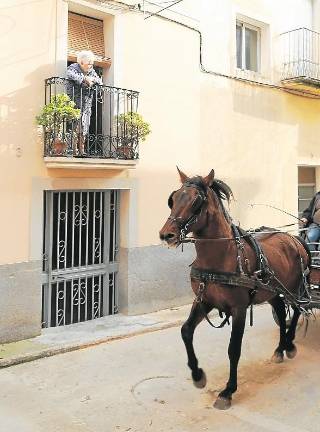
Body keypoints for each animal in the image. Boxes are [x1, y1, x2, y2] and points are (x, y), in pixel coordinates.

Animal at [159, 167, 310, 410]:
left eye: (196, 201)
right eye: (173, 199)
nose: (166, 235)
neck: (222, 255)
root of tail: (294, 238)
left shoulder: (239, 308)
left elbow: (233, 348)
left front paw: (228, 391)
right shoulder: (204, 300)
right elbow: (186, 331)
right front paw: (197, 375)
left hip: (295, 288)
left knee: (296, 311)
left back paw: (289, 344)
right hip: (270, 291)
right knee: (280, 310)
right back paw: (279, 349)